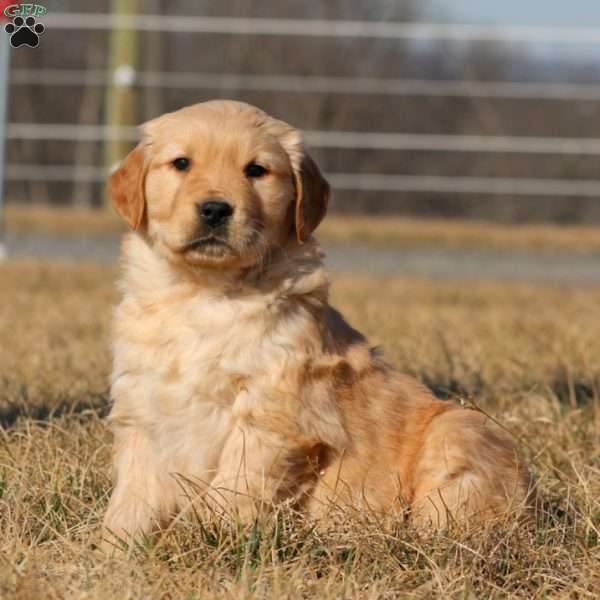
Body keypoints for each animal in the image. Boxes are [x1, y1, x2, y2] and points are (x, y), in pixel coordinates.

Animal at [103, 99, 528, 544]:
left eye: (256, 170)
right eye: (181, 163)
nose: (216, 209)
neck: (204, 292)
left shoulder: (269, 417)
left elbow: (229, 494)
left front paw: (205, 541)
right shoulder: (142, 410)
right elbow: (132, 500)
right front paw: (115, 550)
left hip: (461, 430)